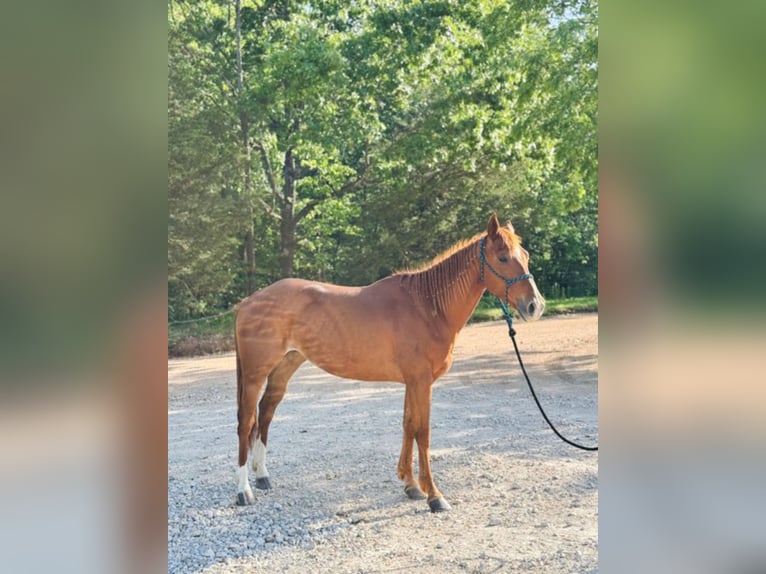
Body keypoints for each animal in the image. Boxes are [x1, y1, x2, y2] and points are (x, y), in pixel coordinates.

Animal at [234, 213, 545, 512]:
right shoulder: (421, 381)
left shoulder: (412, 382)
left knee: (266, 412)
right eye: (502, 258)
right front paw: (435, 496)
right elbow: (423, 432)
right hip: (254, 374)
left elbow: (408, 425)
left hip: (284, 368)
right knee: (246, 421)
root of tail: (250, 300)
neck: (426, 307)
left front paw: (411, 486)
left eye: (526, 254)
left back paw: (262, 475)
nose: (535, 306)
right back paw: (244, 491)